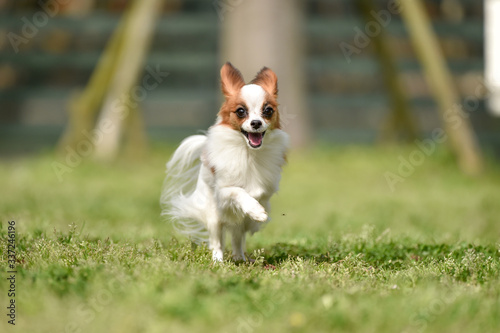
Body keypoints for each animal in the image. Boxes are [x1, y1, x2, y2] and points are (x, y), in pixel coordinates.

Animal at [161, 61, 290, 260]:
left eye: (268, 111)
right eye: (241, 111)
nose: (256, 123)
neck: (248, 152)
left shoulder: (265, 190)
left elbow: (257, 197)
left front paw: (258, 212)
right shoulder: (222, 191)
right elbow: (238, 192)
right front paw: (256, 210)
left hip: (236, 225)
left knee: (237, 238)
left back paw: (240, 258)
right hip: (214, 217)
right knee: (217, 241)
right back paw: (218, 260)